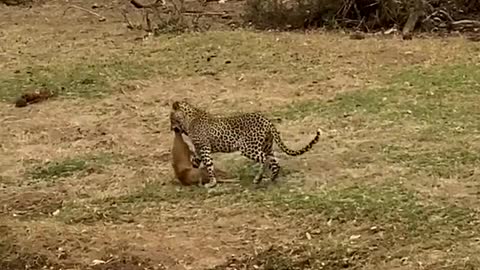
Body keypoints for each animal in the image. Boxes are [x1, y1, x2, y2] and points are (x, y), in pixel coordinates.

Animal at [169, 100, 322, 189]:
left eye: (171, 118)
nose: (171, 128)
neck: (188, 119)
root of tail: (266, 120)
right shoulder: (199, 149)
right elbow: (196, 162)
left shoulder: (205, 149)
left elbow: (209, 165)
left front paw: (211, 182)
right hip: (267, 146)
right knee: (275, 162)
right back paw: (272, 178)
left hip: (248, 148)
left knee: (265, 160)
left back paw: (258, 179)